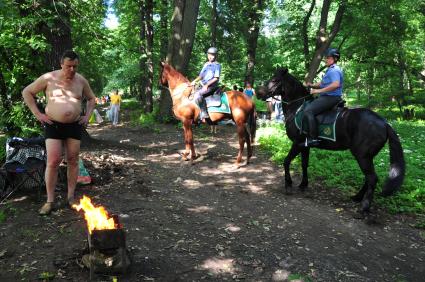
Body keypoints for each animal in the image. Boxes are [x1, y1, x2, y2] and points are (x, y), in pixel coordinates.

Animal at [256, 68, 406, 214]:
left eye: (275, 80)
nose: (259, 93)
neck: (297, 107)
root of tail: (384, 123)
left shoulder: (297, 143)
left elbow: (286, 161)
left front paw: (288, 185)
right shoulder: (305, 146)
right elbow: (304, 164)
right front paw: (303, 185)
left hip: (362, 156)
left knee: (372, 178)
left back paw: (364, 207)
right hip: (367, 156)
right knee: (368, 178)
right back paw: (357, 197)